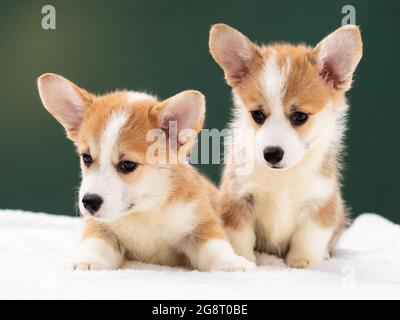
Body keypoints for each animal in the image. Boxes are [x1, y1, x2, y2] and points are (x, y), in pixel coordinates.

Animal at [38, 74, 256, 272]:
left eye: (127, 165)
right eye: (87, 158)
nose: (89, 202)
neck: (145, 209)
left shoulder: (200, 224)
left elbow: (215, 246)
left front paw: (232, 263)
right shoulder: (102, 228)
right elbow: (95, 244)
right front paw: (87, 260)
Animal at [209, 23, 362, 268]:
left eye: (300, 116)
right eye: (258, 115)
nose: (271, 154)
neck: (282, 178)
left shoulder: (319, 202)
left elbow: (309, 240)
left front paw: (302, 262)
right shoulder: (238, 197)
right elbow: (240, 238)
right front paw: (244, 261)